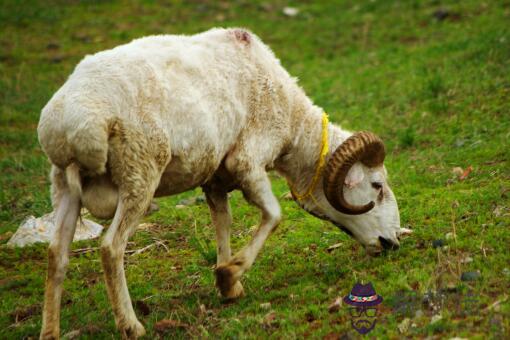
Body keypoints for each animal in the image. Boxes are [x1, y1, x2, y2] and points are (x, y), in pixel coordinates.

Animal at [36, 27, 410, 338]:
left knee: (57, 254)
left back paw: (50, 331)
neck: (291, 121)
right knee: (111, 247)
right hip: (139, 173)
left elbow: (223, 222)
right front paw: (230, 274)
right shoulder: (247, 160)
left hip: (64, 185)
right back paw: (131, 325)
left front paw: (229, 285)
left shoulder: (214, 177)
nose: (392, 242)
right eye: (377, 185)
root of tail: (72, 123)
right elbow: (274, 216)